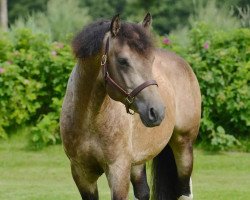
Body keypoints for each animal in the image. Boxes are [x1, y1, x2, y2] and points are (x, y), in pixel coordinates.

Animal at [60, 12, 201, 200]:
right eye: (123, 61)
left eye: (151, 59)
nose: (157, 111)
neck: (91, 119)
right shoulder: (82, 174)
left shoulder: (118, 171)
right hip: (137, 163)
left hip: (183, 146)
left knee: (185, 191)